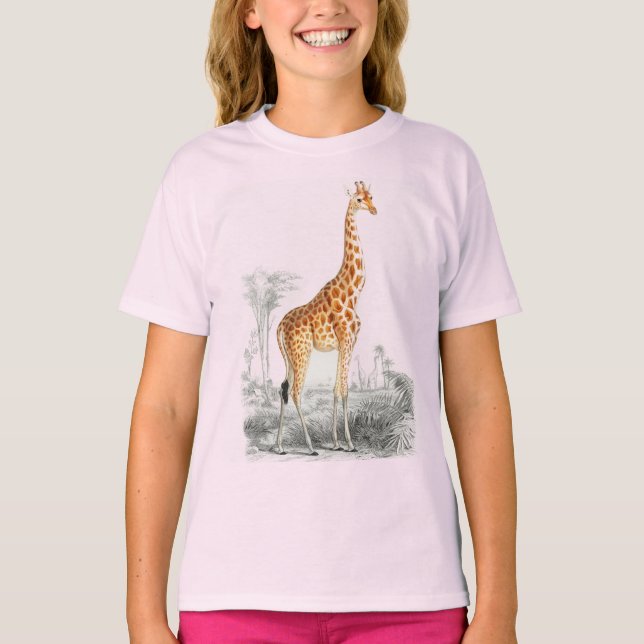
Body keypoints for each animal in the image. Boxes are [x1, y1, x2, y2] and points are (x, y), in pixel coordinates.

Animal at [273, 181, 377, 456]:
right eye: (359, 199)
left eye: (371, 197)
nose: (374, 210)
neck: (353, 291)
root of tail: (279, 327)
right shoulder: (347, 339)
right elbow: (345, 389)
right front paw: (349, 443)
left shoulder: (345, 343)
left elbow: (336, 389)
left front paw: (336, 441)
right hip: (302, 352)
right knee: (296, 392)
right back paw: (309, 447)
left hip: (290, 356)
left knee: (283, 389)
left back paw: (279, 446)